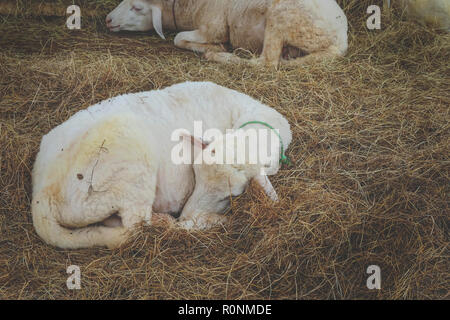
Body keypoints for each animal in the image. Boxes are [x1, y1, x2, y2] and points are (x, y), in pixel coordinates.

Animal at [30, 81, 292, 249]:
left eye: (234, 195)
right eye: (195, 174)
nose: (188, 213)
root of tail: (42, 194)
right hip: (125, 174)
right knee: (135, 227)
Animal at [105, 0, 348, 67]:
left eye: (137, 8)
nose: (108, 20)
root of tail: (341, 39)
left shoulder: (213, 28)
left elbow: (178, 38)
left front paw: (215, 47)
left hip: (283, 18)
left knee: (266, 63)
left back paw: (220, 56)